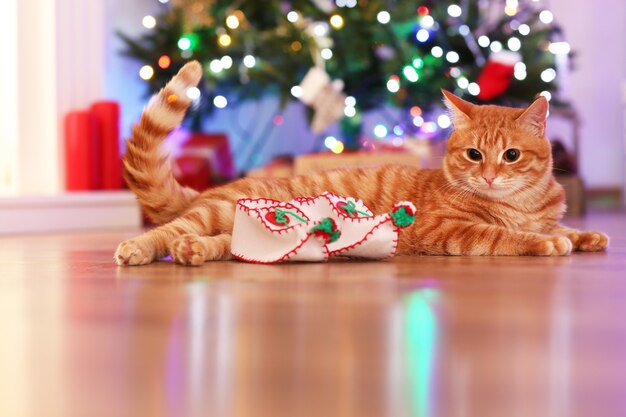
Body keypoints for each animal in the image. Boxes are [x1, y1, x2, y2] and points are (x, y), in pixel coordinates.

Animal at [113, 60, 604, 264]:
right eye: (474, 154)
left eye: (511, 156)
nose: (488, 175)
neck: (522, 204)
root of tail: (212, 188)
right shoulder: (446, 229)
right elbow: (505, 236)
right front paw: (546, 243)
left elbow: (564, 227)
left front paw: (587, 235)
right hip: (212, 213)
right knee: (165, 231)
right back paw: (138, 249)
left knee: (219, 245)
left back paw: (193, 252)